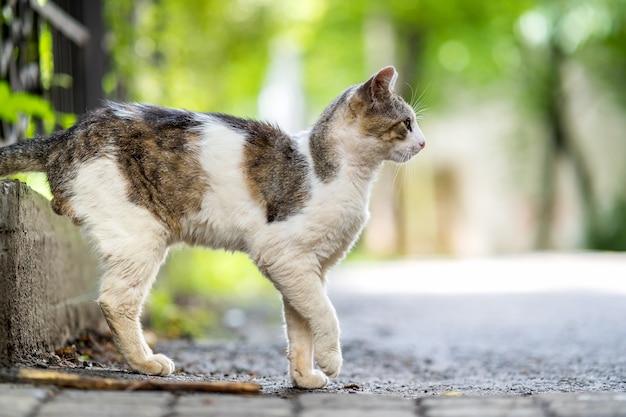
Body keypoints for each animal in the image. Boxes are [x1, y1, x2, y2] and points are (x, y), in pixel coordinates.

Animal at [0, 66, 424, 388]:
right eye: (407, 123)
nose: (422, 143)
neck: (347, 176)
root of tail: (67, 135)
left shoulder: (308, 269)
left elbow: (300, 326)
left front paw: (304, 376)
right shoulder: (284, 257)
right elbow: (325, 314)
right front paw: (332, 360)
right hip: (142, 236)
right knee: (115, 301)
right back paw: (146, 362)